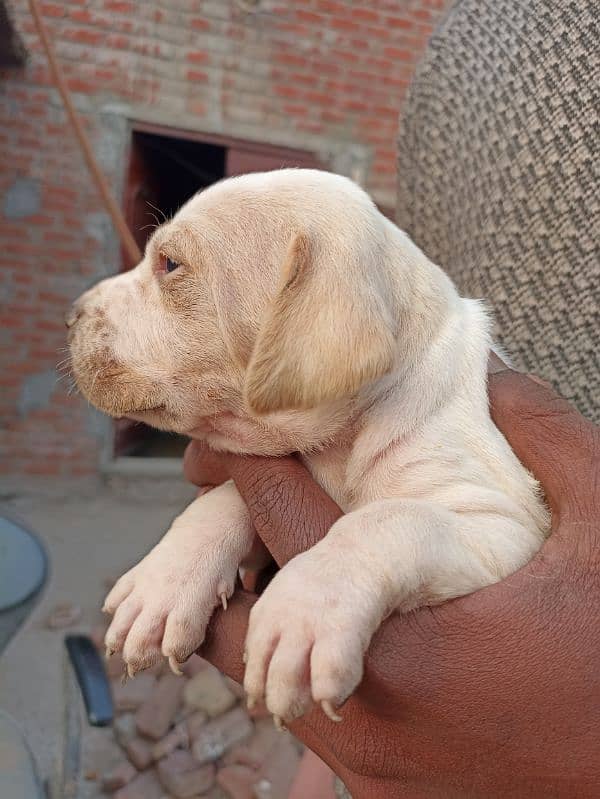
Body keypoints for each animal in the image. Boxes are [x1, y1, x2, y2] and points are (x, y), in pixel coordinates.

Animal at [65, 167, 548, 724]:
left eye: (170, 264)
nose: (71, 315)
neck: (342, 442)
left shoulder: (506, 524)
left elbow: (389, 519)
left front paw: (303, 615)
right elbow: (230, 494)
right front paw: (165, 581)